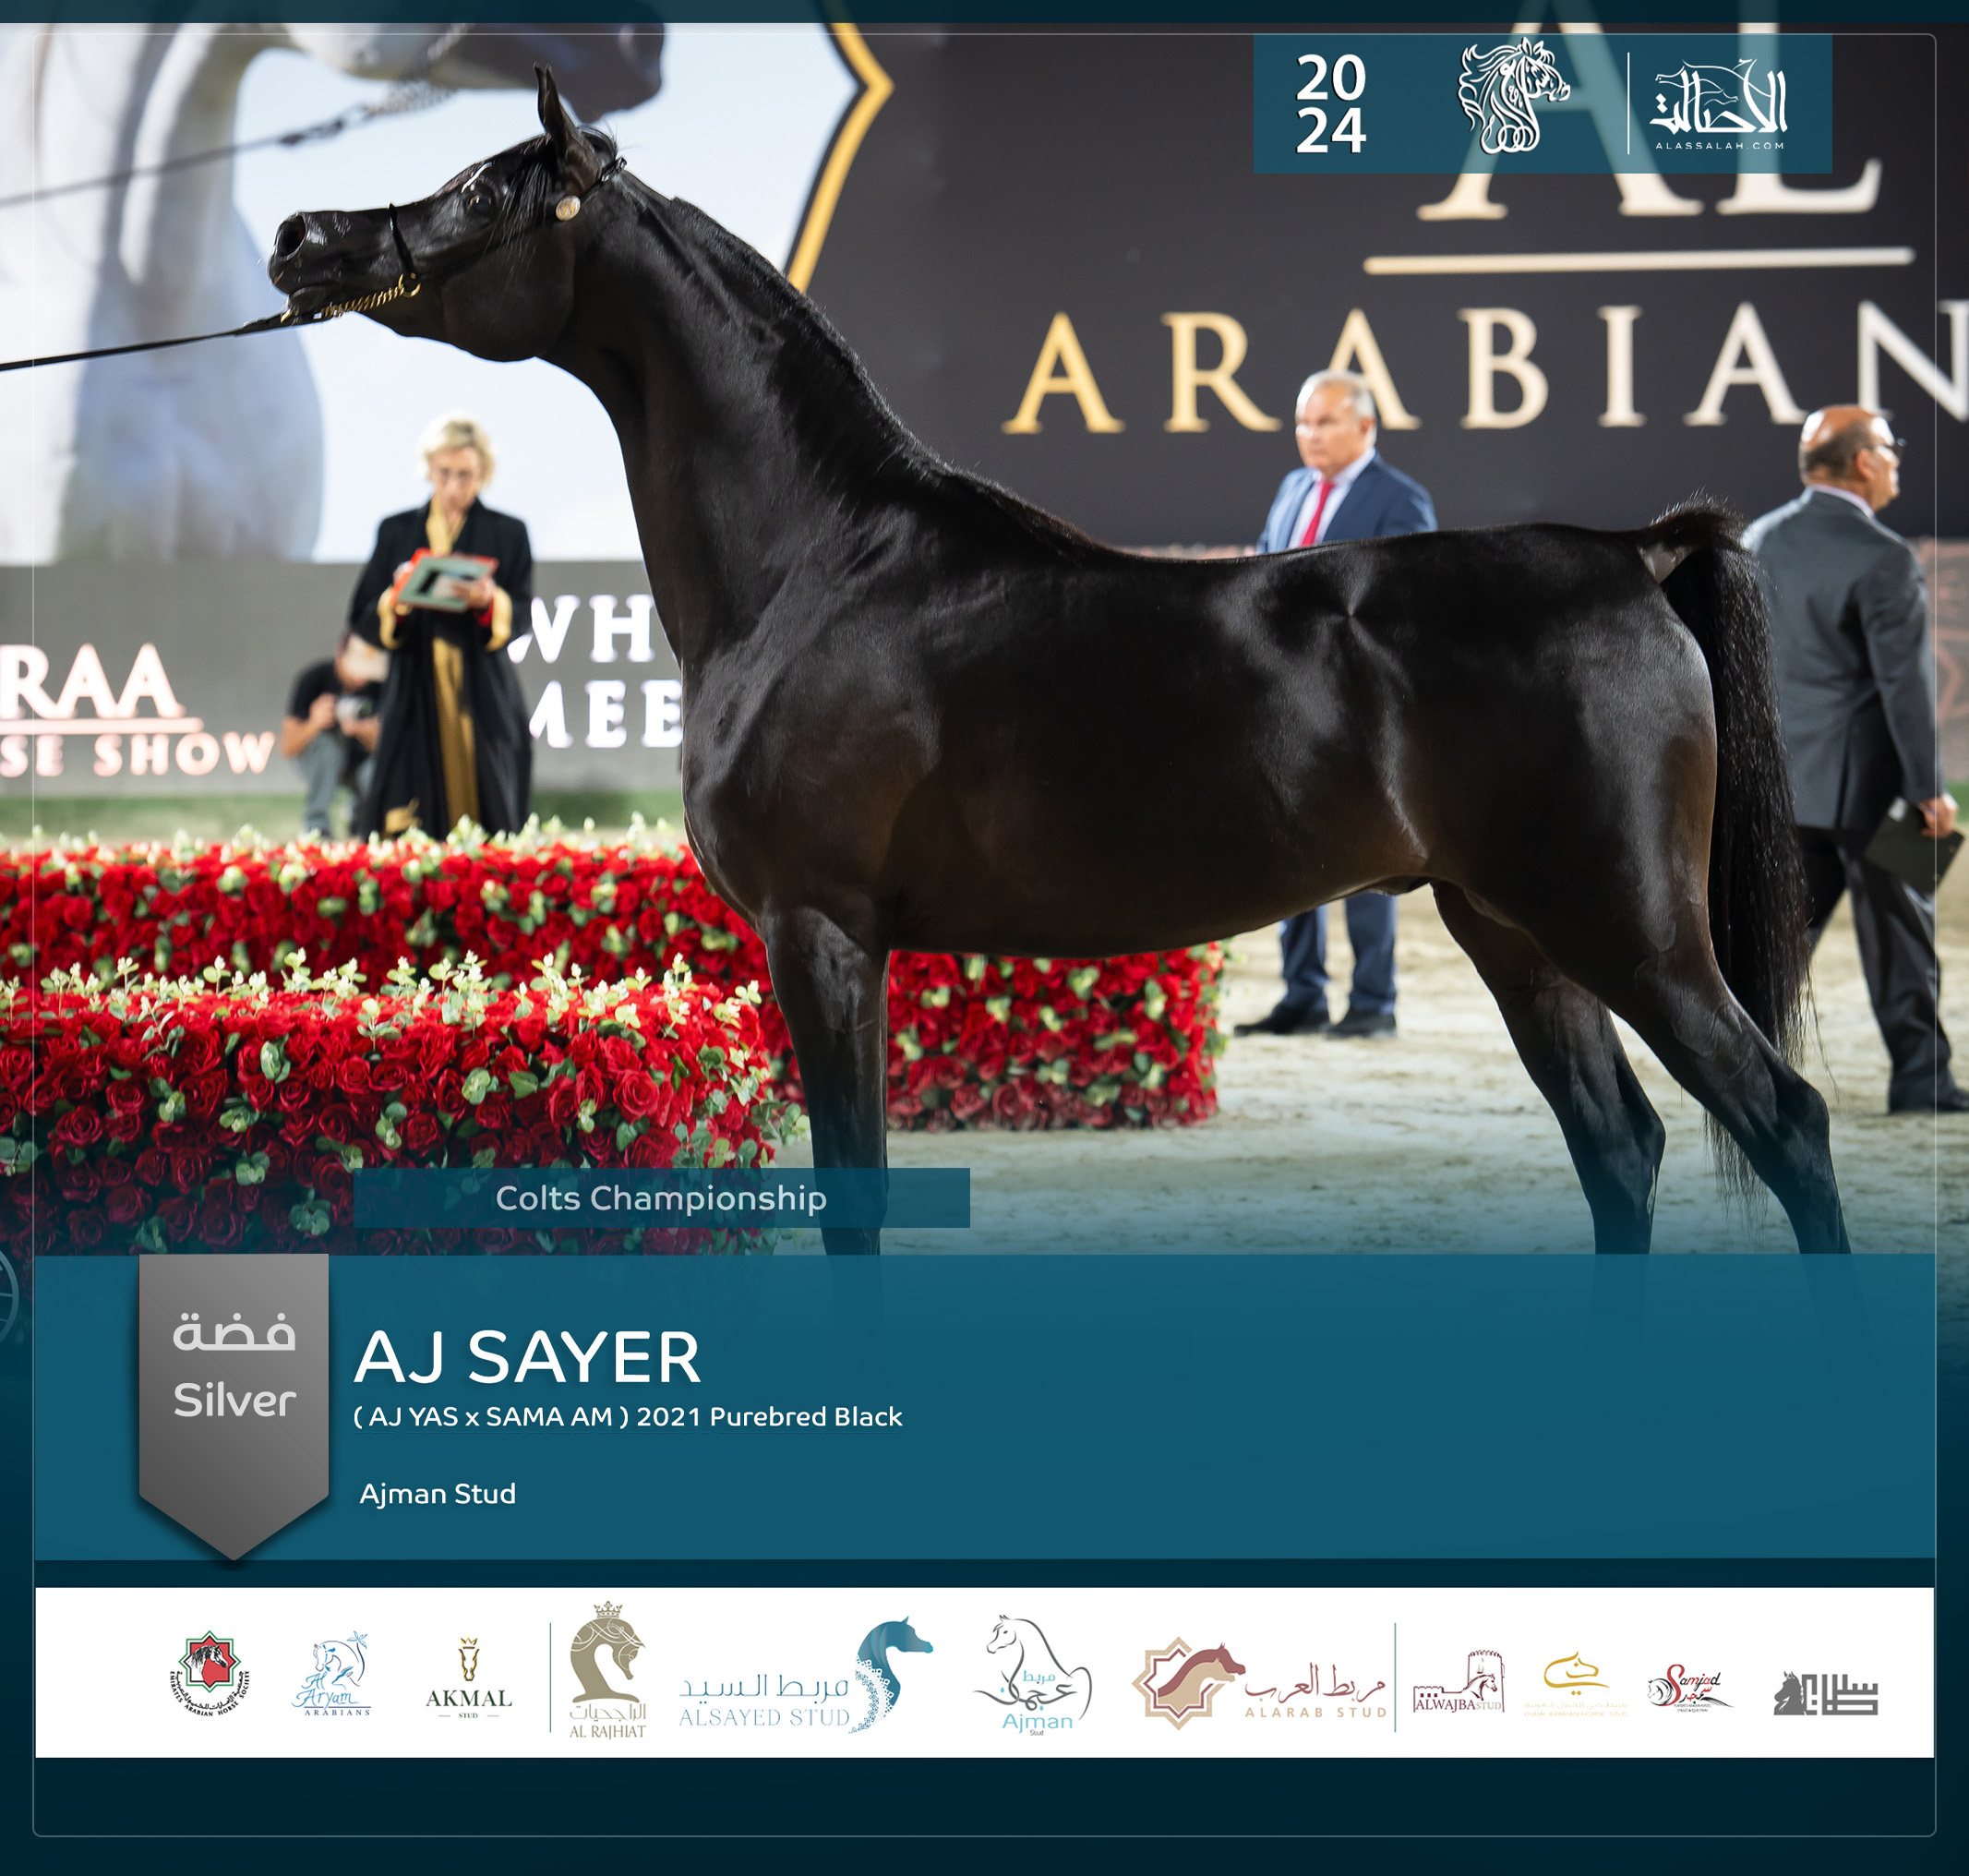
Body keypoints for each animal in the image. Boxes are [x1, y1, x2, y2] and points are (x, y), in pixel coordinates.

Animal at [266, 66, 1852, 1259]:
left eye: (484, 191)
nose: (299, 240)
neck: (820, 565)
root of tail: (1628, 554)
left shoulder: (819, 929)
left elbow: (853, 1199)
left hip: (1631, 931)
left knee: (1780, 1123)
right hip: (1515, 932)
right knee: (1621, 1148)